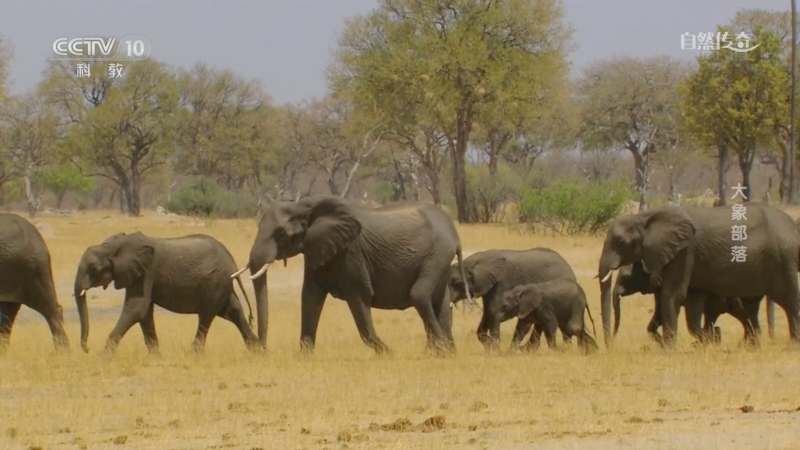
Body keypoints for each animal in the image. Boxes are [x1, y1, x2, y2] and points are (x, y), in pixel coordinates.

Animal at [74, 231, 257, 355]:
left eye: (93, 268)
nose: (87, 349)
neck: (112, 247)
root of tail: (232, 262)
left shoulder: (146, 271)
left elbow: (136, 309)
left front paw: (103, 356)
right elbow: (144, 313)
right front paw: (155, 356)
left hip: (215, 282)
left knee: (206, 316)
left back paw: (193, 354)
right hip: (221, 284)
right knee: (233, 310)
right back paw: (257, 349)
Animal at [234, 195, 472, 354]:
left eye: (281, 233)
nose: (263, 349)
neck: (305, 205)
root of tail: (454, 233)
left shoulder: (351, 253)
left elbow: (359, 296)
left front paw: (387, 353)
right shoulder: (319, 247)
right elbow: (310, 297)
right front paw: (304, 356)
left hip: (436, 255)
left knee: (420, 295)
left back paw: (440, 349)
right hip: (440, 260)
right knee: (440, 301)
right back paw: (446, 353)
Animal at [447, 247, 577, 351]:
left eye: (457, 282)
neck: (474, 262)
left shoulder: (502, 282)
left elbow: (493, 310)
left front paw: (494, 350)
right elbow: (487, 313)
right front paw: (489, 345)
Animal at [611, 262, 763, 345]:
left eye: (626, 277)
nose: (612, 340)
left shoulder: (691, 287)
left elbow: (692, 313)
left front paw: (710, 339)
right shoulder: (659, 288)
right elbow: (660, 313)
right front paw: (661, 342)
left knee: (741, 313)